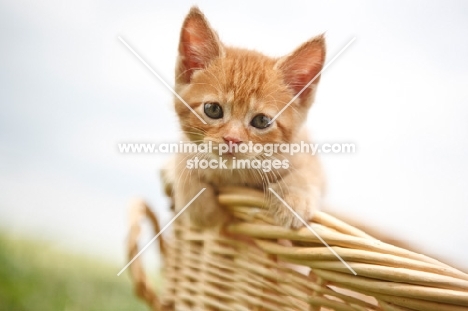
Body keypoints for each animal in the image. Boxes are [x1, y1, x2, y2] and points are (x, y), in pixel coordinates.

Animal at [165, 6, 326, 228]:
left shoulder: (305, 154)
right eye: (213, 109)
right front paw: (203, 210)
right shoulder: (184, 148)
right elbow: (183, 168)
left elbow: (306, 174)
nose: (232, 139)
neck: (234, 175)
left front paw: (293, 200)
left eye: (262, 121)